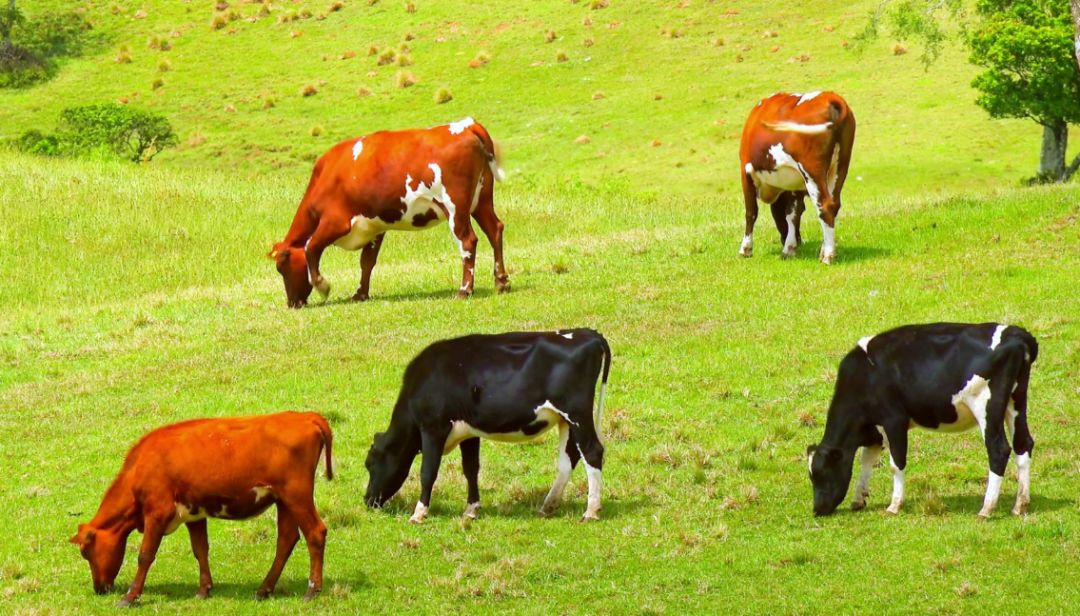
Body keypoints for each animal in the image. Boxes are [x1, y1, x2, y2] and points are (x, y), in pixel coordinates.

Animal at [71, 410, 332, 600]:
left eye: (86, 552)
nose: (99, 589)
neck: (140, 467)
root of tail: (305, 416)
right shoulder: (193, 514)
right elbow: (200, 549)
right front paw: (204, 589)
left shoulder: (157, 512)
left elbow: (145, 555)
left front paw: (130, 596)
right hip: (284, 501)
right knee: (286, 539)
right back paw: (263, 589)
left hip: (297, 496)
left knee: (315, 533)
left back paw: (312, 590)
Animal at [267, 115, 507, 306]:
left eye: (282, 267)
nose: (292, 303)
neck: (326, 175)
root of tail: (466, 125)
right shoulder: (374, 226)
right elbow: (366, 262)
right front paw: (360, 294)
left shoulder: (335, 221)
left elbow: (311, 247)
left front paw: (322, 286)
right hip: (482, 201)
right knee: (495, 230)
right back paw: (502, 282)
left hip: (454, 207)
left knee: (468, 242)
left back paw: (465, 290)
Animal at [365, 328, 613, 520]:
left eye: (370, 464)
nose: (367, 500)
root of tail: (588, 333)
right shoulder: (468, 432)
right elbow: (470, 469)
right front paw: (471, 510)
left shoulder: (433, 428)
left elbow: (428, 471)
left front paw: (418, 513)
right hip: (565, 420)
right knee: (568, 459)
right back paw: (548, 506)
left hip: (577, 413)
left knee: (592, 451)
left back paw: (591, 511)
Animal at [738, 90, 855, 261]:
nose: (800, 241)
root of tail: (830, 96)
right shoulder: (794, 184)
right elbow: (793, 213)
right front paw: (789, 247)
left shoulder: (746, 172)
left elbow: (751, 212)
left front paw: (745, 248)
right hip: (840, 167)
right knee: (834, 204)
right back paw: (824, 249)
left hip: (812, 171)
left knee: (825, 205)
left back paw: (828, 255)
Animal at [812, 322, 1036, 518]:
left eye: (822, 474)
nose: (817, 510)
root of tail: (1016, 334)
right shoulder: (875, 430)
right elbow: (866, 461)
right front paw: (858, 499)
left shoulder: (894, 420)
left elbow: (896, 463)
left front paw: (894, 506)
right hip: (1016, 402)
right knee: (1023, 444)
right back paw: (1020, 506)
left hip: (985, 406)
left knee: (998, 450)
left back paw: (986, 509)